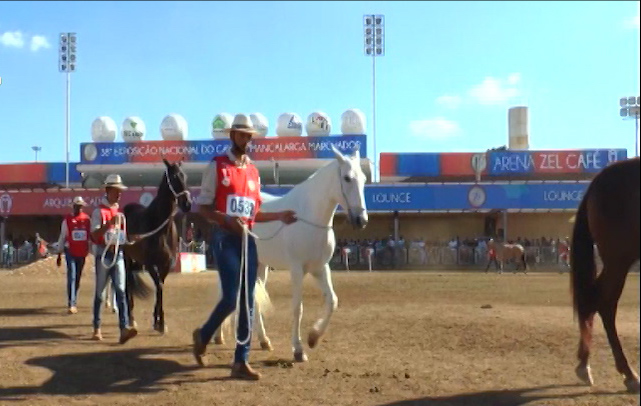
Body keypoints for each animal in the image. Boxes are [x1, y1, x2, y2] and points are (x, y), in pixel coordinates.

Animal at [120, 158, 189, 334]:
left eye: (185, 176)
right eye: (174, 177)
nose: (187, 204)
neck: (160, 228)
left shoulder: (165, 265)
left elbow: (161, 287)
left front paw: (159, 322)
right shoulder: (151, 265)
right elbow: (158, 286)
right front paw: (159, 321)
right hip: (127, 259)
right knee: (128, 283)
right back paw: (131, 318)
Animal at [214, 146, 368, 362]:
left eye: (364, 179)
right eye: (347, 178)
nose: (361, 220)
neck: (307, 216)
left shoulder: (320, 268)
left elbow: (332, 301)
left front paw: (313, 338)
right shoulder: (296, 270)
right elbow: (297, 308)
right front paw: (298, 349)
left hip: (260, 266)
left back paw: (264, 341)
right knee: (224, 293)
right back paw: (219, 336)